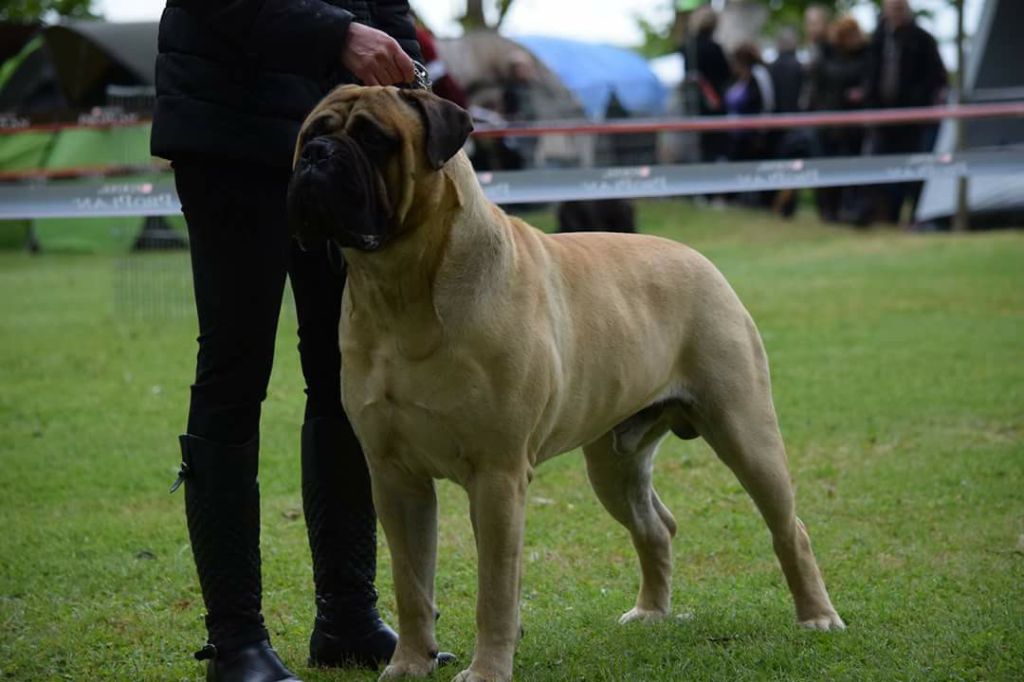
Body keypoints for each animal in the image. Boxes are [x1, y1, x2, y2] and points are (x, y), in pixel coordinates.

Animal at [288, 86, 847, 679]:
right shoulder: (396, 477)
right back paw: (651, 613)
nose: (317, 155)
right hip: (614, 462)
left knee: (789, 528)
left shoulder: (498, 476)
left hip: (745, 430)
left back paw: (817, 616)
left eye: (375, 138)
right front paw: (410, 663)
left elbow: (495, 590)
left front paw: (487, 670)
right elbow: (411, 582)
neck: (400, 287)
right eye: (310, 133)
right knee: (655, 527)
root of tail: (701, 260)